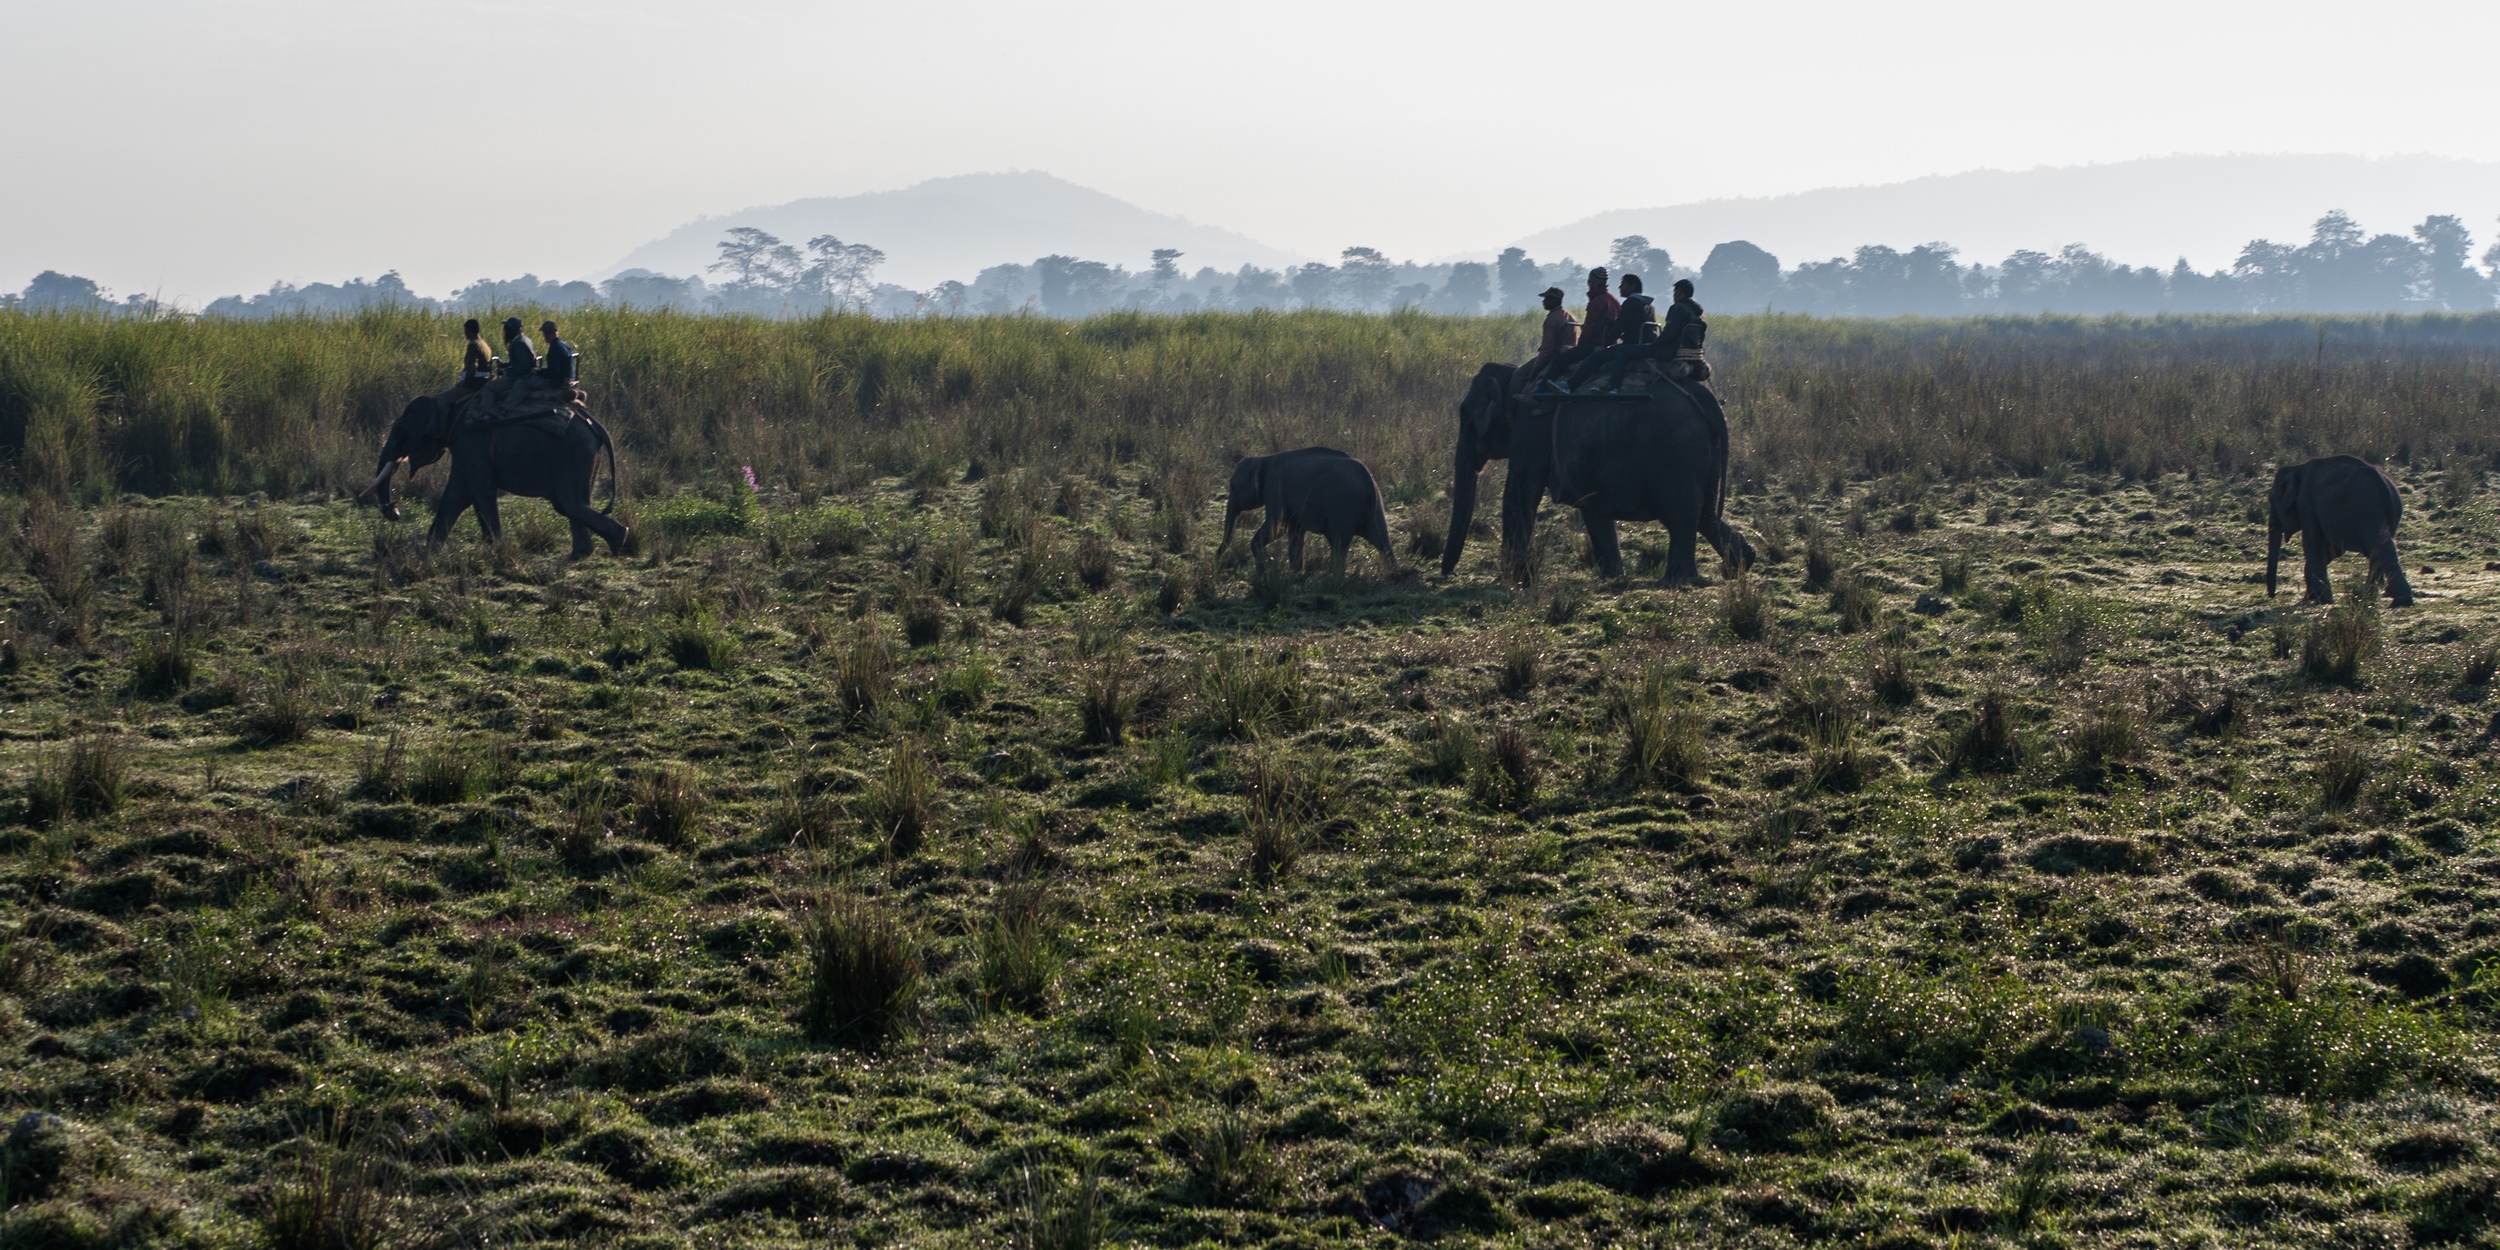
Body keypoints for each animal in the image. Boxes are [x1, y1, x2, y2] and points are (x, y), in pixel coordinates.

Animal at [365, 387, 630, 560]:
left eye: (401, 431)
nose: (394, 511)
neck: (446, 402)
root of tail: (594, 424)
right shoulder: (463, 447)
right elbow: (455, 495)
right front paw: (427, 552)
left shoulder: (471, 441)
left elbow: (480, 492)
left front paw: (497, 550)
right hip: (585, 455)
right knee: (573, 503)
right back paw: (583, 553)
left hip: (573, 452)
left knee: (567, 502)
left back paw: (619, 542)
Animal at [1215, 445, 1400, 575]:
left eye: (1233, 487)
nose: (1217, 557)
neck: (1262, 459)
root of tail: (1368, 482)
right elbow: (1294, 530)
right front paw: (1295, 572)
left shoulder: (1274, 487)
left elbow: (1278, 526)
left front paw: (1266, 569)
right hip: (1375, 507)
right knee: (1381, 539)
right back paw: (1394, 573)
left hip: (1343, 504)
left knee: (1339, 541)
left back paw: (1335, 578)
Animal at [1450, 365, 1760, 582]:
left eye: (1465, 415)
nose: (1449, 574)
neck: (1517, 379)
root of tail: (1705, 396)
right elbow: (1591, 508)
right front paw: (1611, 577)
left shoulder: (1530, 431)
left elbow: (1520, 493)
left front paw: (1510, 580)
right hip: (1705, 450)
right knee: (1705, 514)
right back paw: (1740, 564)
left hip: (1676, 452)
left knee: (1682, 515)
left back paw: (1675, 580)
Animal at [2260, 455, 2410, 605]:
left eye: (2272, 500)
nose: (2273, 594)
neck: (2298, 467)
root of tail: (2383, 482)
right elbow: (2334, 550)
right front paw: (2312, 596)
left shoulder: (2305, 502)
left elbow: (2313, 542)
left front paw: (2322, 600)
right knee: (2380, 548)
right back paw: (2374, 598)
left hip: (2365, 509)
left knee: (2378, 546)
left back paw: (2386, 600)